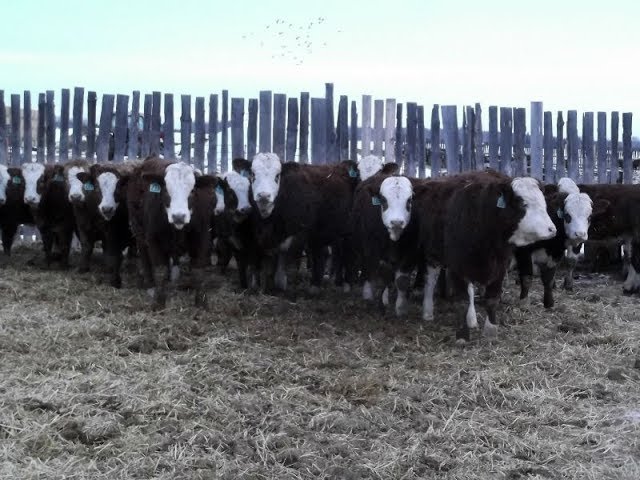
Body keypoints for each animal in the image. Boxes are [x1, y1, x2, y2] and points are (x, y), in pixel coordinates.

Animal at [127, 157, 218, 309]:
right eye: (166, 190)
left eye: (192, 190)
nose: (178, 216)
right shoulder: (153, 239)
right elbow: (160, 269)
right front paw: (158, 302)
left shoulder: (202, 237)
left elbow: (198, 271)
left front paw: (201, 302)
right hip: (138, 231)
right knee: (145, 258)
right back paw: (150, 286)